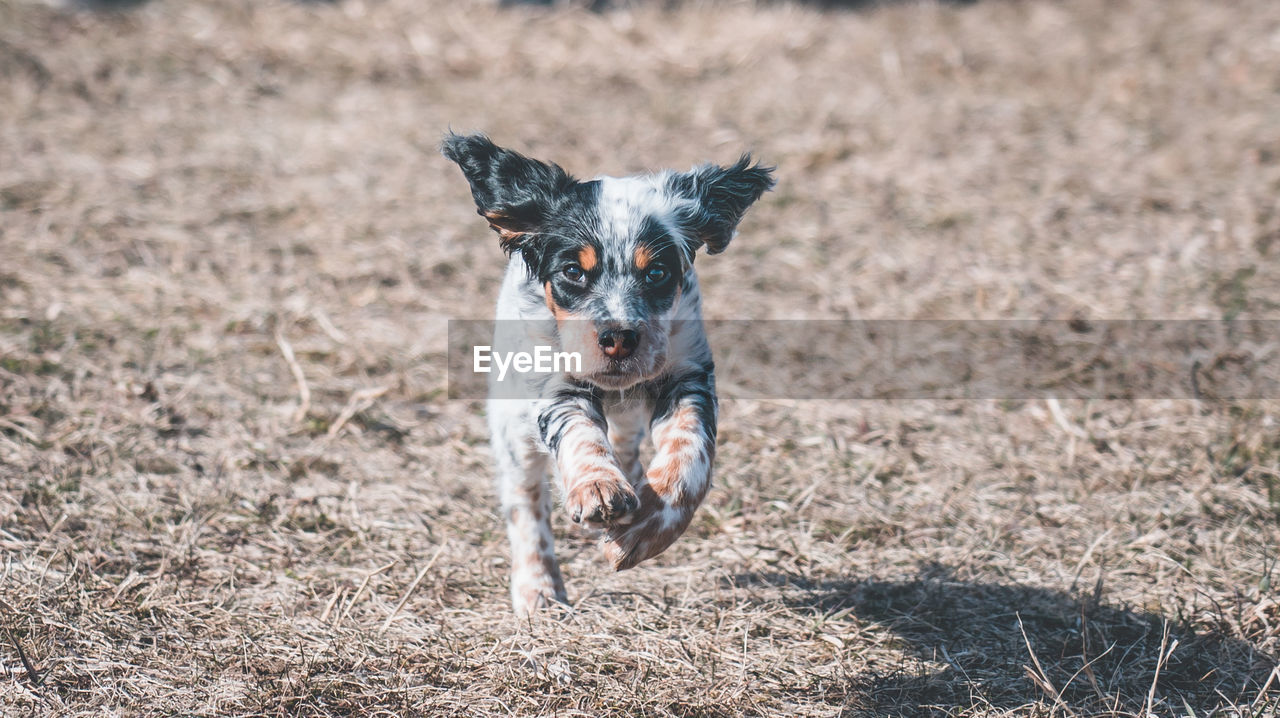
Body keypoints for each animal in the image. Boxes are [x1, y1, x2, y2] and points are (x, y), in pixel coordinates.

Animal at [445, 133, 773, 609]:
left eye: (657, 272)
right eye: (572, 272)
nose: (618, 337)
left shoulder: (688, 373)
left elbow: (690, 452)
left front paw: (642, 531)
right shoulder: (556, 382)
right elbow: (580, 436)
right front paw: (598, 489)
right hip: (510, 426)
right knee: (525, 500)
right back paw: (538, 590)